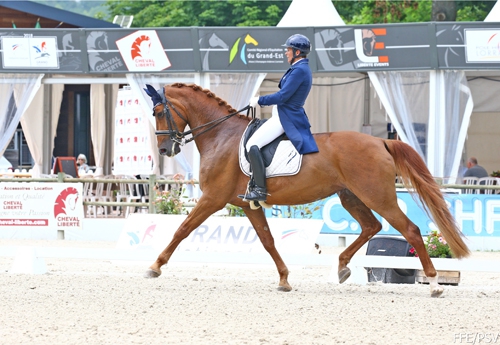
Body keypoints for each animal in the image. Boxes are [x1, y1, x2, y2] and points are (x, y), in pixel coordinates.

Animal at [144, 82, 468, 296]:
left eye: (159, 111)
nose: (164, 149)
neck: (220, 135)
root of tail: (380, 140)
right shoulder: (247, 205)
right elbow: (267, 241)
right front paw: (284, 279)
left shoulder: (213, 199)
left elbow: (182, 229)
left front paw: (155, 266)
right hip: (351, 196)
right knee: (371, 226)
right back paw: (342, 268)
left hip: (378, 195)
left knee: (409, 229)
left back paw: (434, 284)